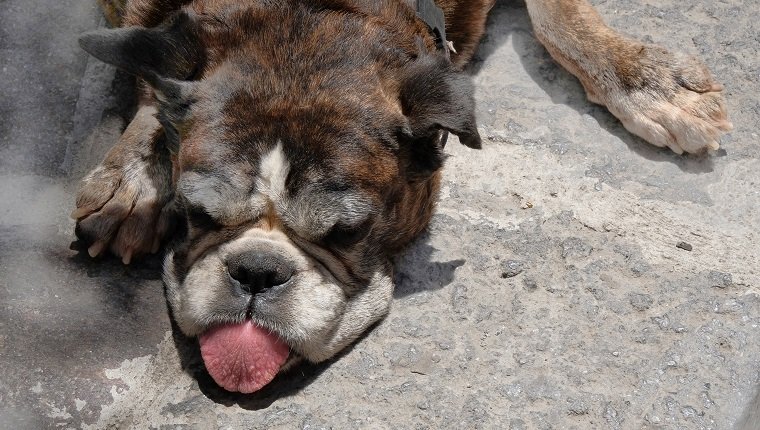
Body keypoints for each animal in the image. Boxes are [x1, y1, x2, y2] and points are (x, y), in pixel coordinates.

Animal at [75, 0, 732, 394]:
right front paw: (133, 178)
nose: (256, 270)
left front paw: (645, 79)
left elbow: (557, 14)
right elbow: (152, 69)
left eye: (348, 233)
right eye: (195, 216)